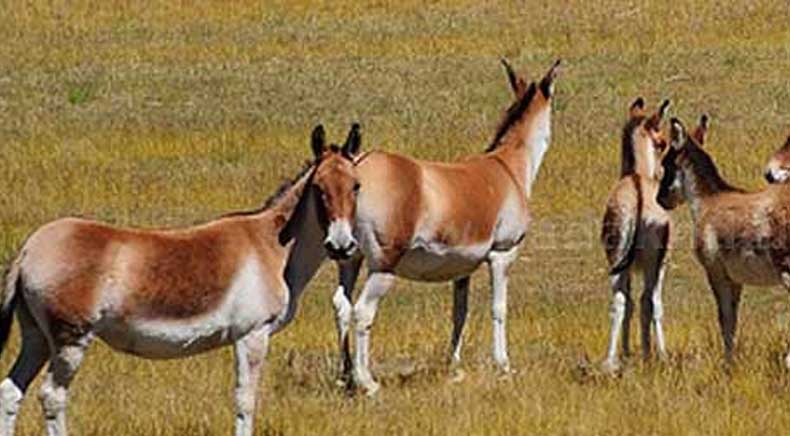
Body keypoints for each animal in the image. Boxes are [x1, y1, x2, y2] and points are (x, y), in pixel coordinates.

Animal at [0, 123, 366, 436]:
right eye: (318, 188)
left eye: (356, 186)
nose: (341, 246)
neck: (271, 245)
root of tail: (30, 249)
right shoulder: (252, 334)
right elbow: (245, 401)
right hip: (69, 340)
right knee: (52, 396)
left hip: (36, 337)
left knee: (10, 392)